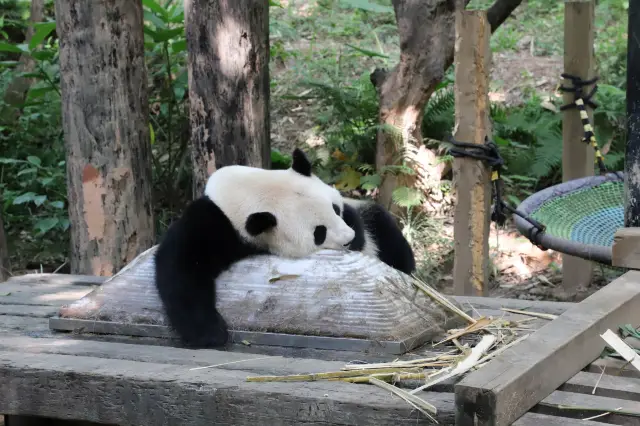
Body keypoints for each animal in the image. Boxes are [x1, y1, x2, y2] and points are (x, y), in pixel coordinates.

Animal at [154, 148, 355, 349]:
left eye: (336, 209)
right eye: (319, 232)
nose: (349, 240)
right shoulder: (212, 224)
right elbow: (182, 266)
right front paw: (211, 333)